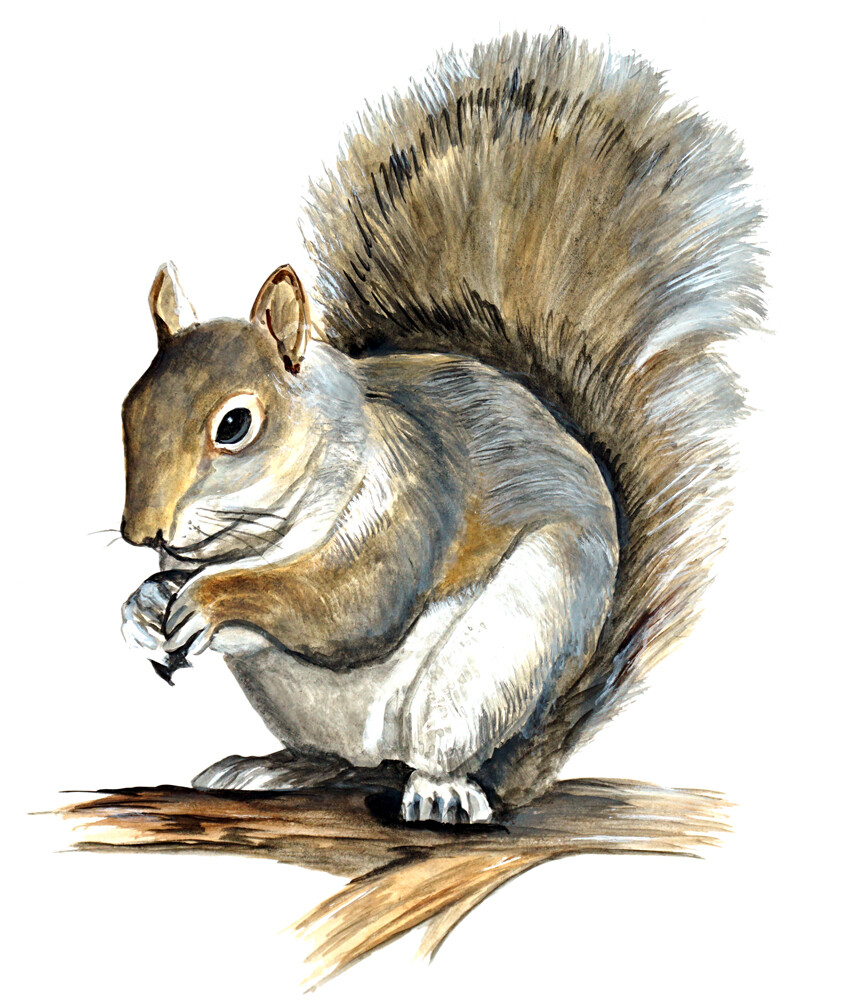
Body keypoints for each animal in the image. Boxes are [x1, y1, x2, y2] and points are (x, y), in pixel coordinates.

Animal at [119, 30, 762, 825]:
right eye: (130, 407)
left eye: (235, 424)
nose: (140, 532)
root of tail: (529, 761)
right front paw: (142, 605)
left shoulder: (410, 492)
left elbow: (351, 605)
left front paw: (210, 597)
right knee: (342, 763)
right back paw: (277, 768)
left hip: (499, 657)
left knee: (439, 748)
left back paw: (442, 790)